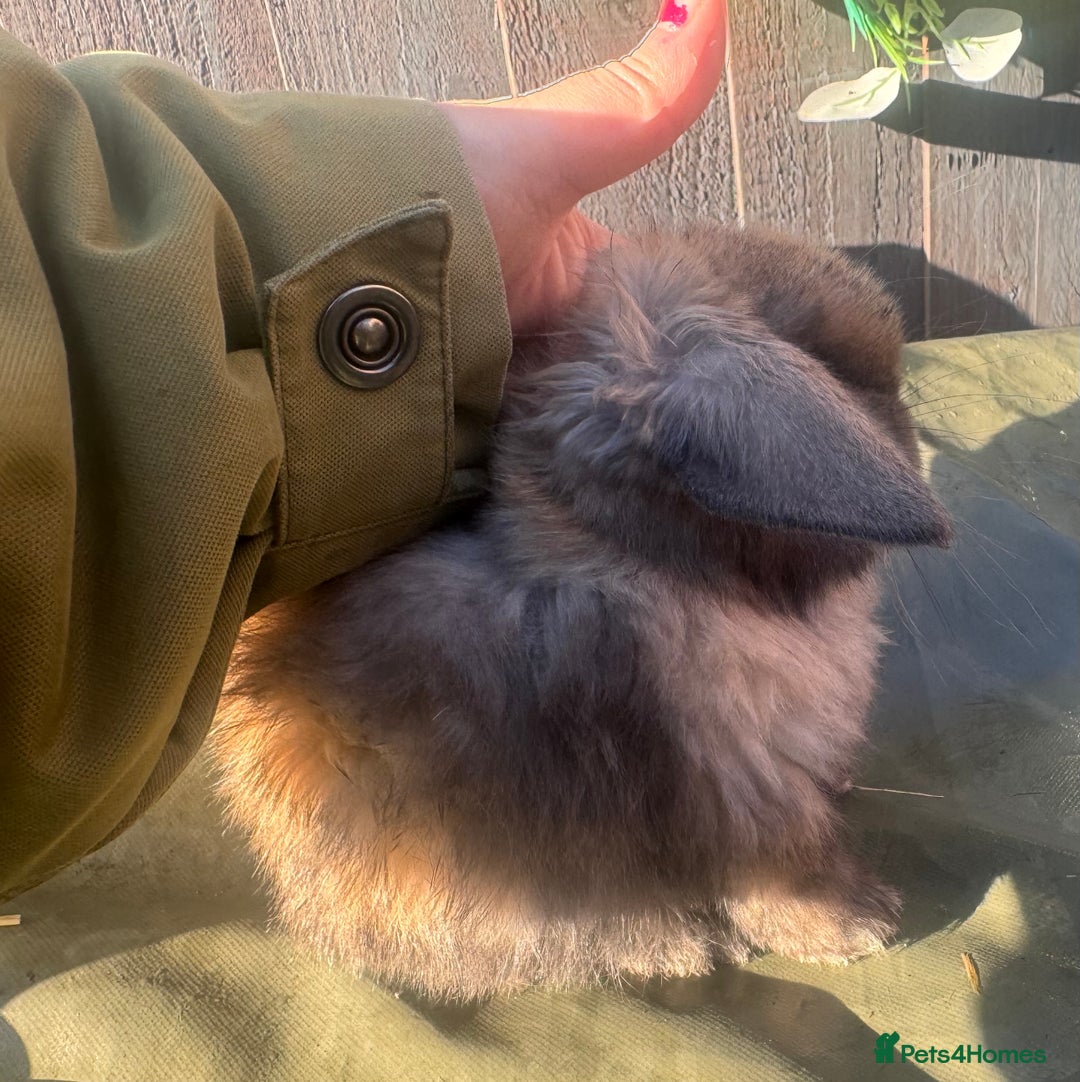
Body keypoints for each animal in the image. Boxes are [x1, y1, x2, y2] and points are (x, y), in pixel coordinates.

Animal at [209, 223, 951, 1002]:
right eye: (848, 369)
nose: (913, 432)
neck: (641, 565)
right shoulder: (744, 793)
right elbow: (784, 874)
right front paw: (863, 927)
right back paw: (680, 949)